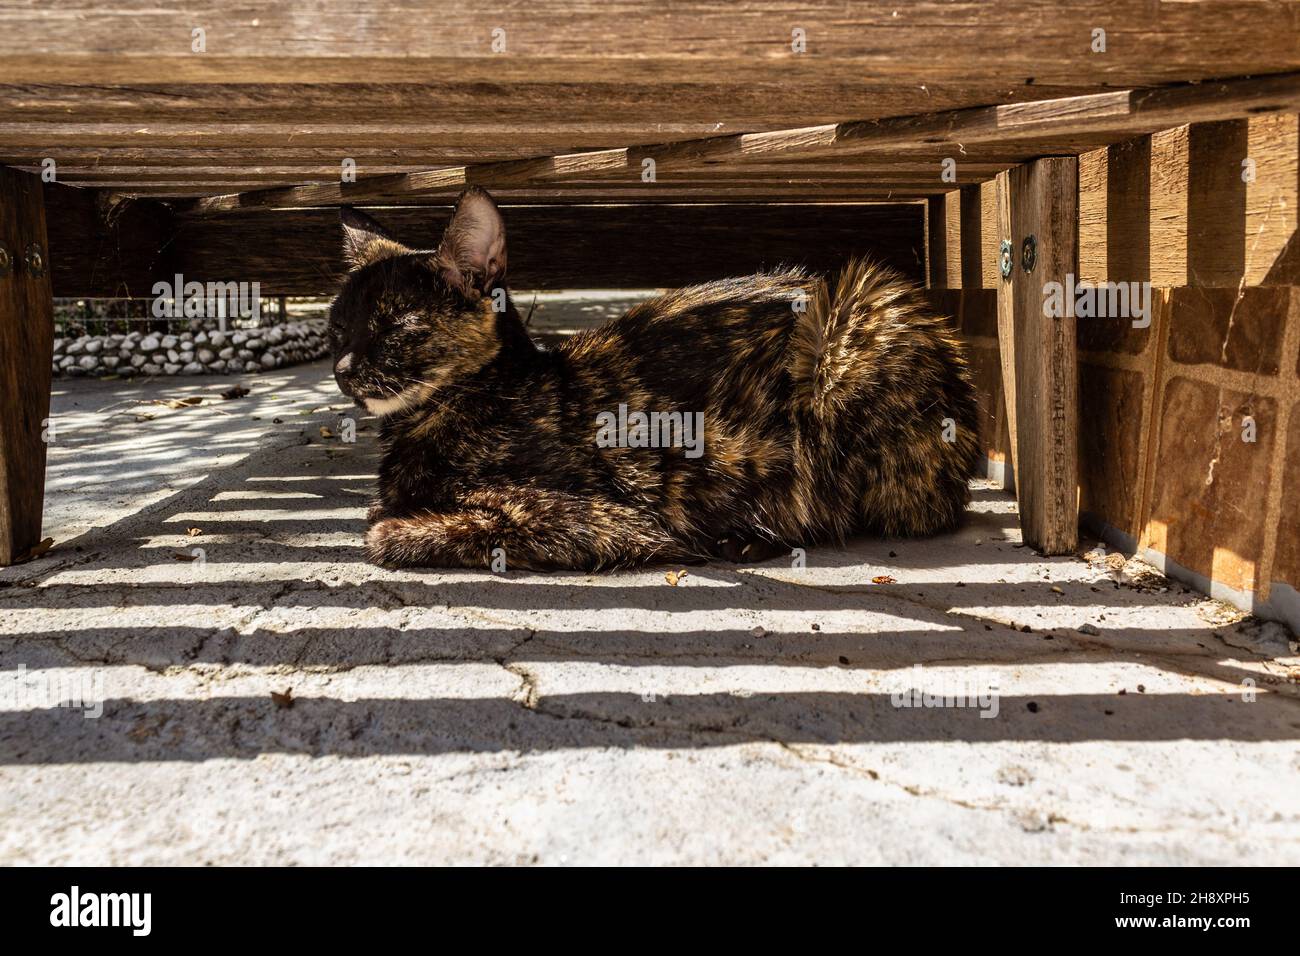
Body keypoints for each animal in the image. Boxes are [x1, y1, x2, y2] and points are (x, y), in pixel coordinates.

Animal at [325, 191, 977, 572]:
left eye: (397, 326)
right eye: (338, 327)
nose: (343, 368)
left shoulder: (597, 519)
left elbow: (387, 532)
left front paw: (391, 522)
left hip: (857, 317)